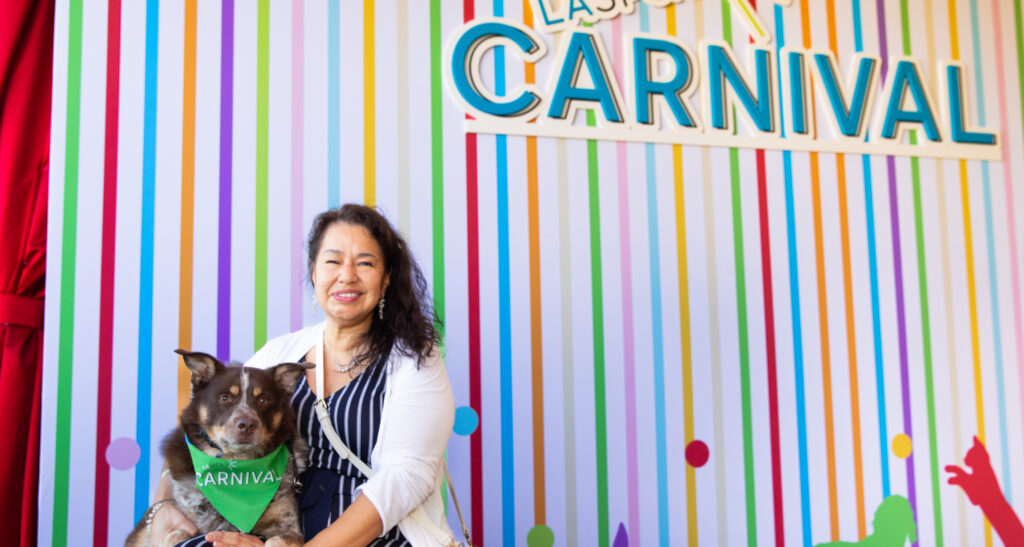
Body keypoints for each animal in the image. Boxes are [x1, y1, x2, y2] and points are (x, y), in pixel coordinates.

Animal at [125, 352, 307, 547]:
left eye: (263, 399)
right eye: (224, 397)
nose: (247, 425)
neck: (237, 465)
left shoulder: (288, 527)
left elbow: (276, 541)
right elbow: (174, 536)